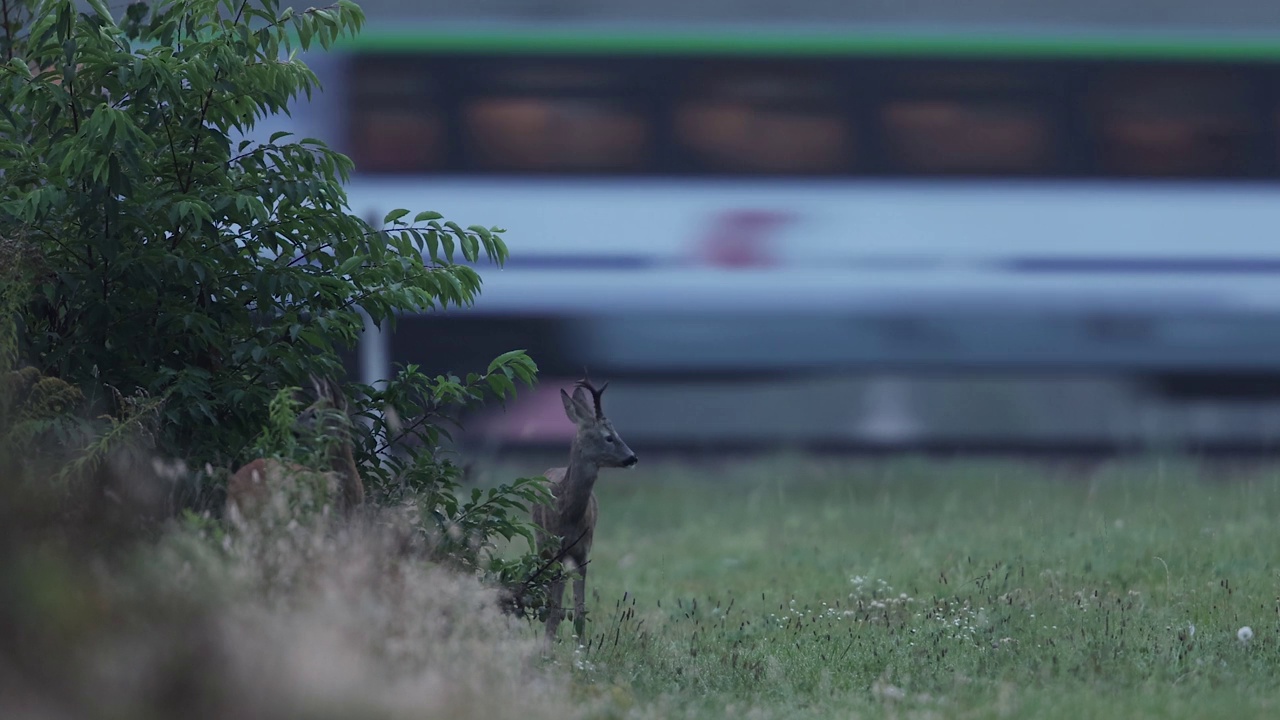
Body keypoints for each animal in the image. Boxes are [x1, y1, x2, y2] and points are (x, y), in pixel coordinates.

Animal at [529, 379, 634, 640]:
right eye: (608, 437)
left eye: (616, 433)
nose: (632, 458)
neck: (569, 514)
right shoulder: (556, 550)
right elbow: (556, 608)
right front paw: (547, 645)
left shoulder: (583, 552)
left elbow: (580, 610)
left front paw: (582, 646)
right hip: (542, 545)